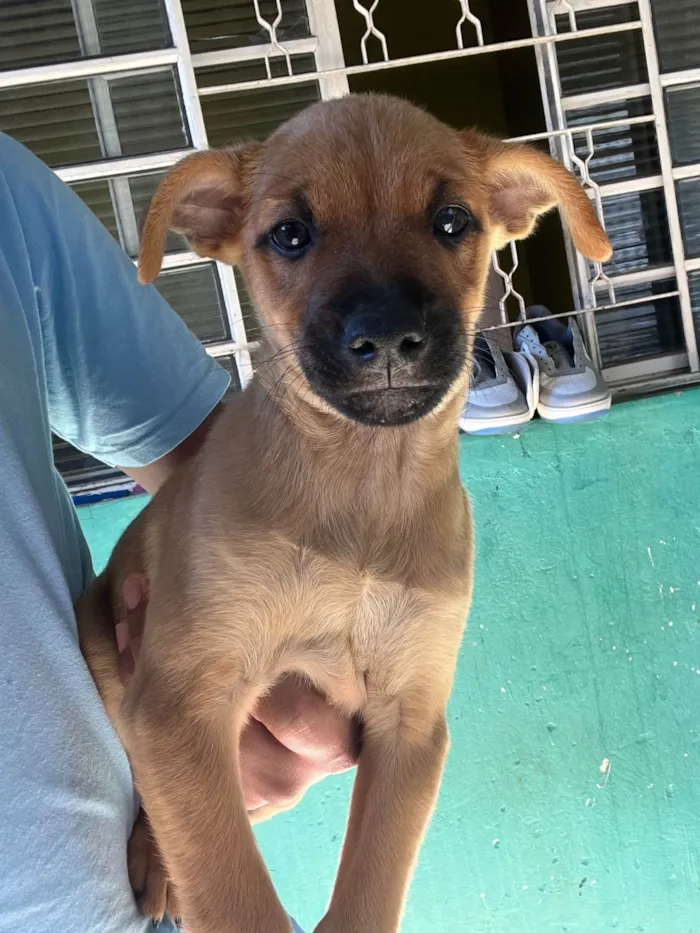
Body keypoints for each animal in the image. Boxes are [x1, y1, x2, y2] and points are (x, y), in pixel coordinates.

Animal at [78, 89, 612, 932]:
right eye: (290, 234)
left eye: (452, 220)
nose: (388, 336)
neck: (361, 488)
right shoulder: (177, 697)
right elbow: (230, 888)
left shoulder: (410, 721)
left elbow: (370, 885)